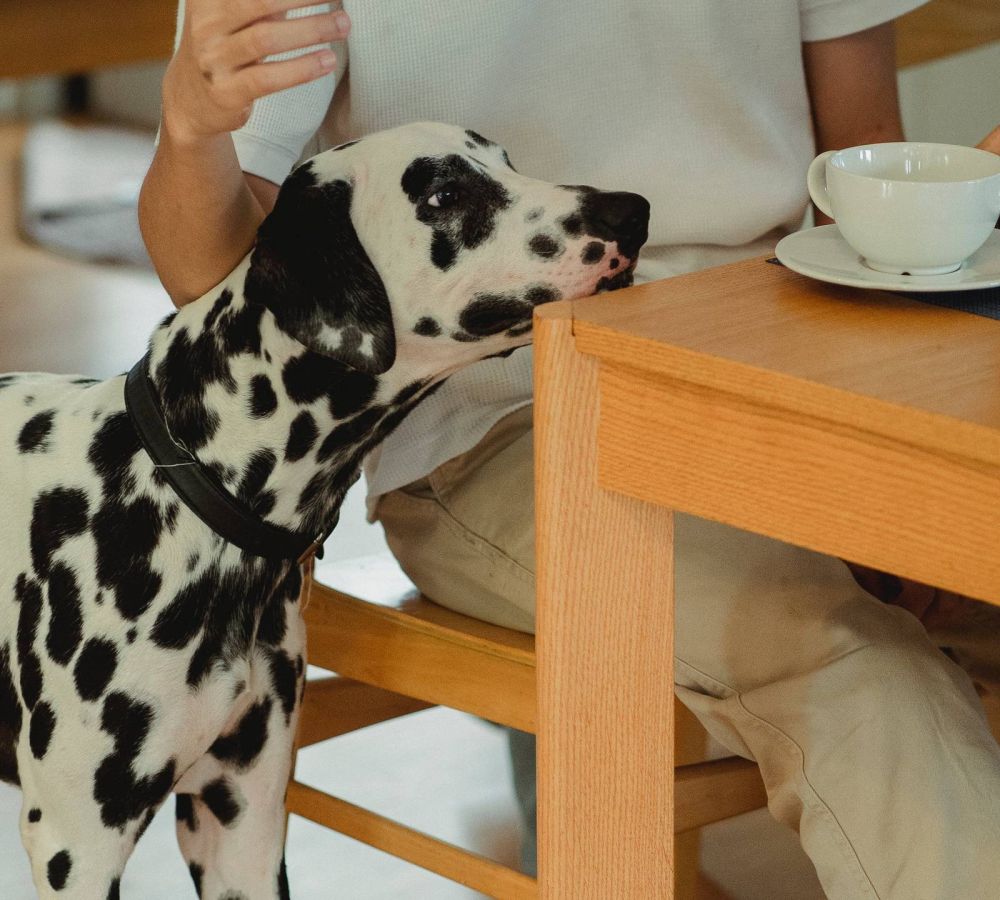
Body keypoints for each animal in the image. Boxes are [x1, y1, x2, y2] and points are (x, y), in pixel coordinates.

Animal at [0, 121, 648, 900]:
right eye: (444, 193)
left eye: (507, 162)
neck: (182, 488)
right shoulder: (78, 846)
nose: (632, 212)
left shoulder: (242, 821)